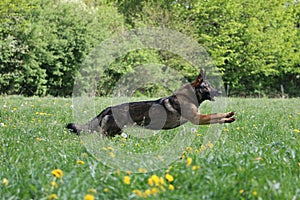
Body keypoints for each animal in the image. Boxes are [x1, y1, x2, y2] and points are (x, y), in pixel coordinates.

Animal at [67, 69, 236, 137]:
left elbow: (217, 117)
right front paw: (228, 116)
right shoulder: (198, 119)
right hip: (108, 131)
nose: (219, 92)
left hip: (115, 132)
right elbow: (215, 115)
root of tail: (108, 108)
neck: (189, 96)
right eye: (207, 86)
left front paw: (228, 117)